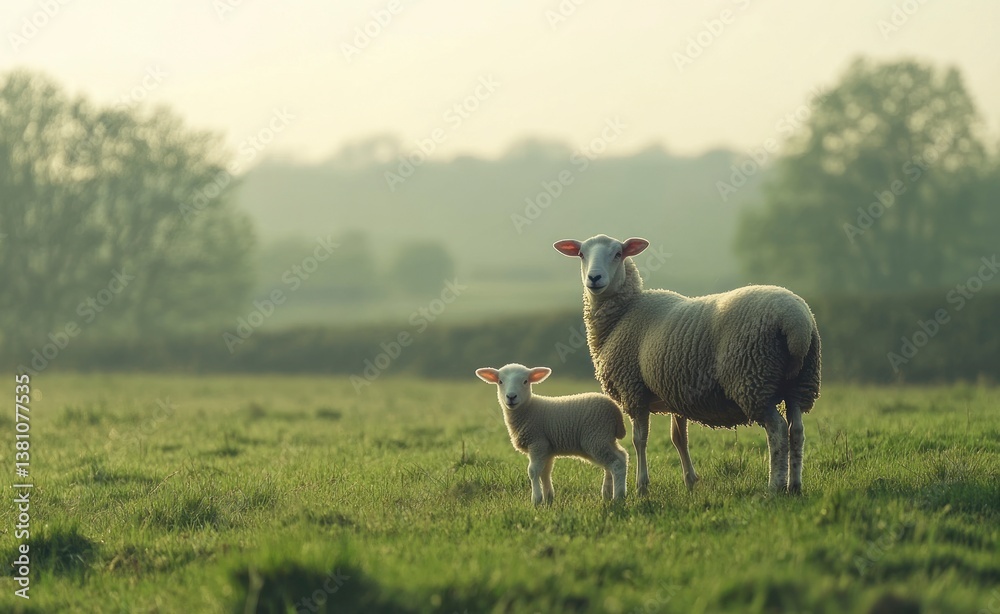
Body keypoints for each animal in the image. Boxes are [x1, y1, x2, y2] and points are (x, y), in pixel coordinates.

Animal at [475, 363, 628, 504]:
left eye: (525, 381)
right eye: (500, 381)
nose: (511, 397)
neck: (528, 409)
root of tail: (616, 411)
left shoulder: (537, 442)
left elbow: (533, 471)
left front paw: (536, 500)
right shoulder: (547, 449)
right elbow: (545, 473)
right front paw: (548, 499)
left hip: (596, 437)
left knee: (616, 464)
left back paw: (618, 497)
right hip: (604, 438)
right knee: (620, 457)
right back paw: (607, 493)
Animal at [553, 234, 821, 495]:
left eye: (618, 253)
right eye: (581, 254)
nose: (594, 278)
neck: (624, 314)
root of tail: (796, 323)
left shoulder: (634, 390)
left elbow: (640, 440)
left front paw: (642, 486)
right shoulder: (675, 392)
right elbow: (678, 438)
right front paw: (690, 481)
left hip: (753, 378)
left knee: (777, 431)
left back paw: (775, 486)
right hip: (800, 382)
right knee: (796, 430)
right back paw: (795, 485)